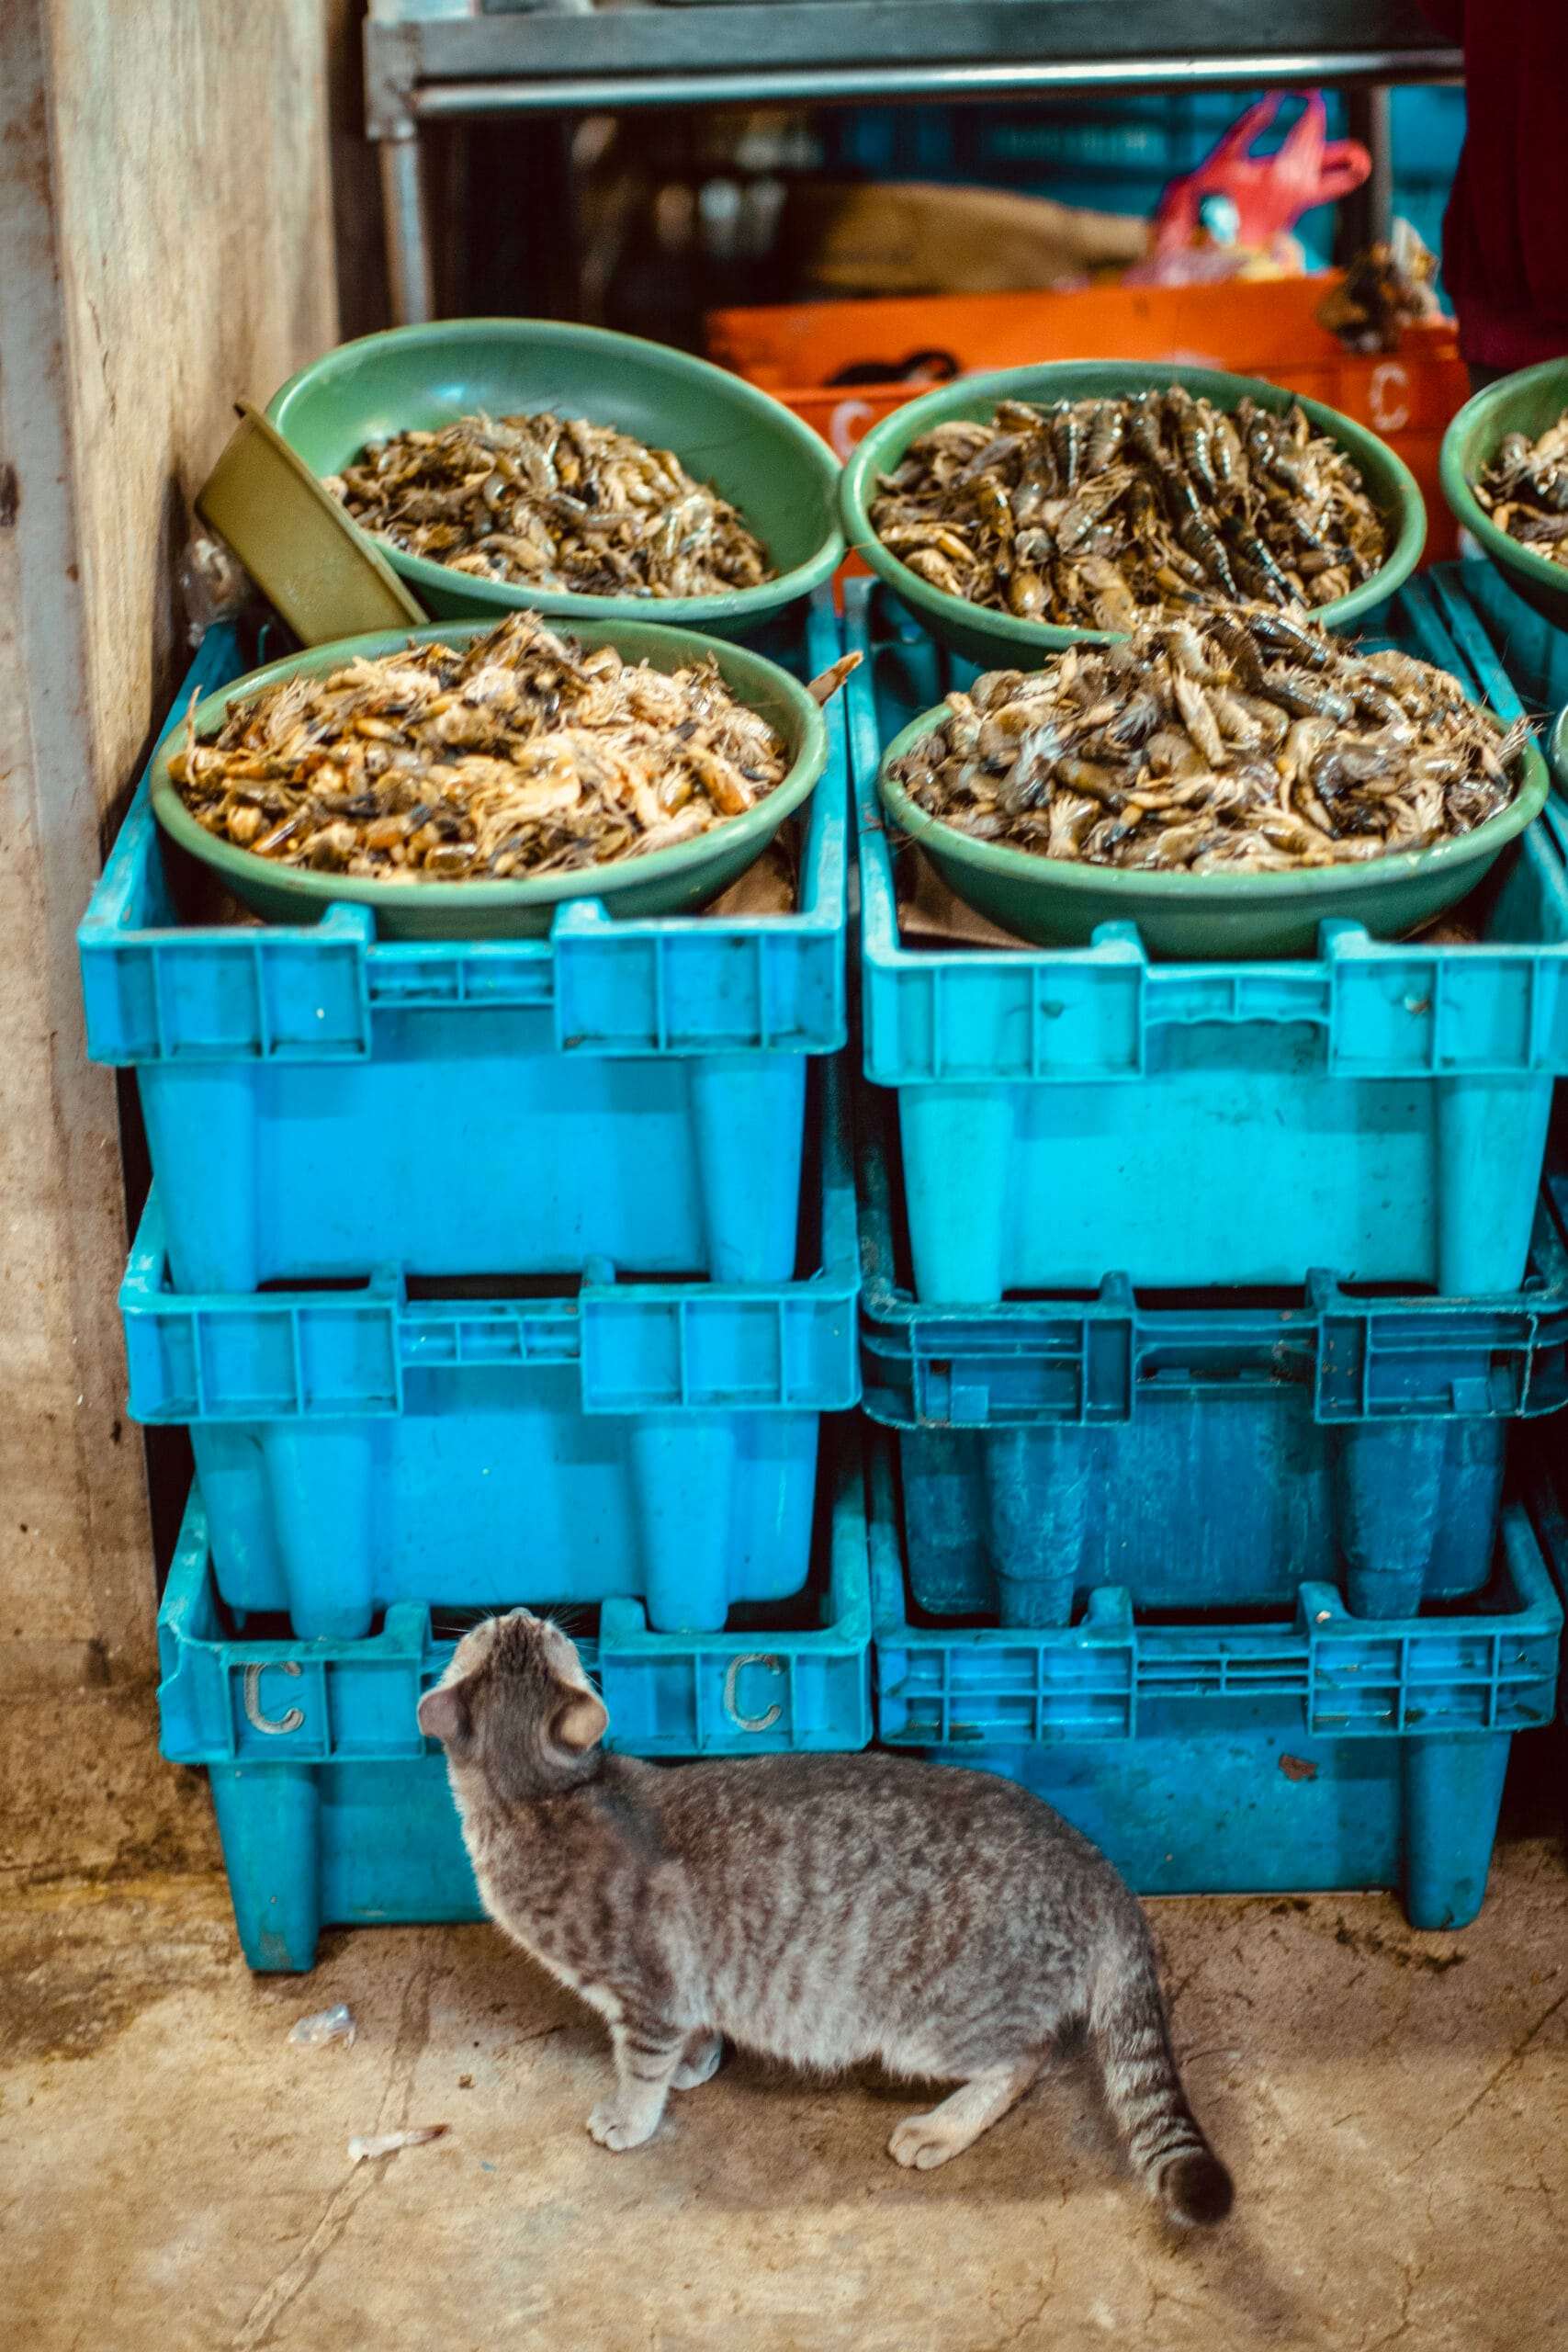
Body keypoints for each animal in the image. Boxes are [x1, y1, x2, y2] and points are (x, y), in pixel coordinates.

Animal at [418, 1609, 1233, 2229]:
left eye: (512, 1634)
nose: (523, 1611)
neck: (539, 1796)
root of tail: (1096, 1866)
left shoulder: (646, 1993)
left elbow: (641, 2066)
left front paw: (630, 2115)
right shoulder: (687, 1986)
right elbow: (694, 2029)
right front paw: (697, 2061)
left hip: (930, 2025)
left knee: (1026, 2059)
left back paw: (941, 2126)